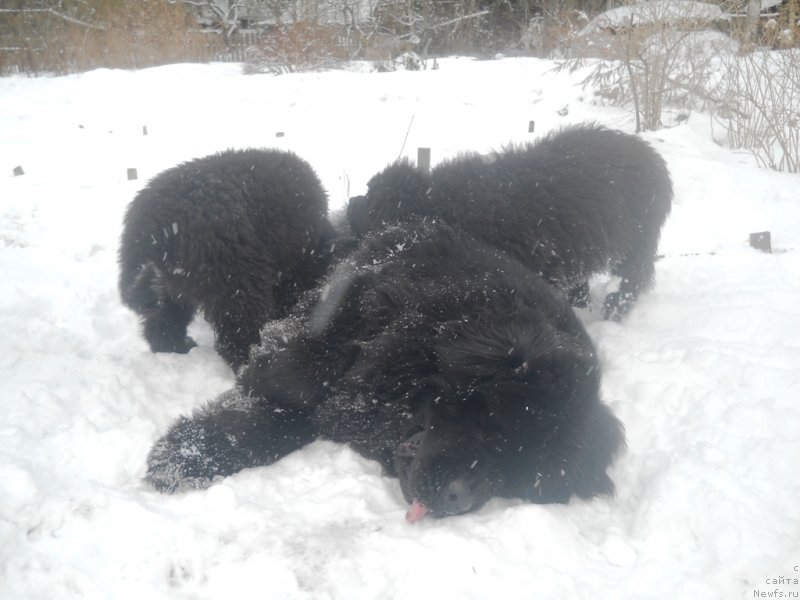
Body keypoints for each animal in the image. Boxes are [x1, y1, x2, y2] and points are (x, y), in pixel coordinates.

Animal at [117, 148, 336, 368]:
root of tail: (149, 234)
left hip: (171, 287)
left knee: (162, 325)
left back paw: (179, 349)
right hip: (234, 281)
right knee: (236, 337)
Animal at [147, 220, 628, 520]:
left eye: (513, 477)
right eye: (491, 430)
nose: (458, 498)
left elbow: (287, 421)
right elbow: (290, 383)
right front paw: (184, 456)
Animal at [346, 124, 672, 322]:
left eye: (372, 201)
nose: (350, 204)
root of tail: (653, 156)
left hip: (639, 240)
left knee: (631, 279)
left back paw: (613, 310)